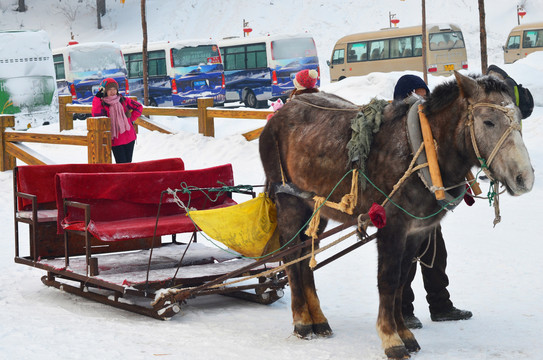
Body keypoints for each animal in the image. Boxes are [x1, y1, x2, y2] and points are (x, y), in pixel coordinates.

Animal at [260, 71, 536, 360]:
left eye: (519, 117)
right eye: (488, 121)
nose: (524, 178)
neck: (423, 149)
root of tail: (279, 114)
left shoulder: (417, 231)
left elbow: (403, 280)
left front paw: (405, 334)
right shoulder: (392, 226)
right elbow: (388, 280)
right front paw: (390, 338)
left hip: (316, 209)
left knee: (304, 258)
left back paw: (319, 321)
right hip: (289, 201)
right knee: (290, 257)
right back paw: (302, 321)